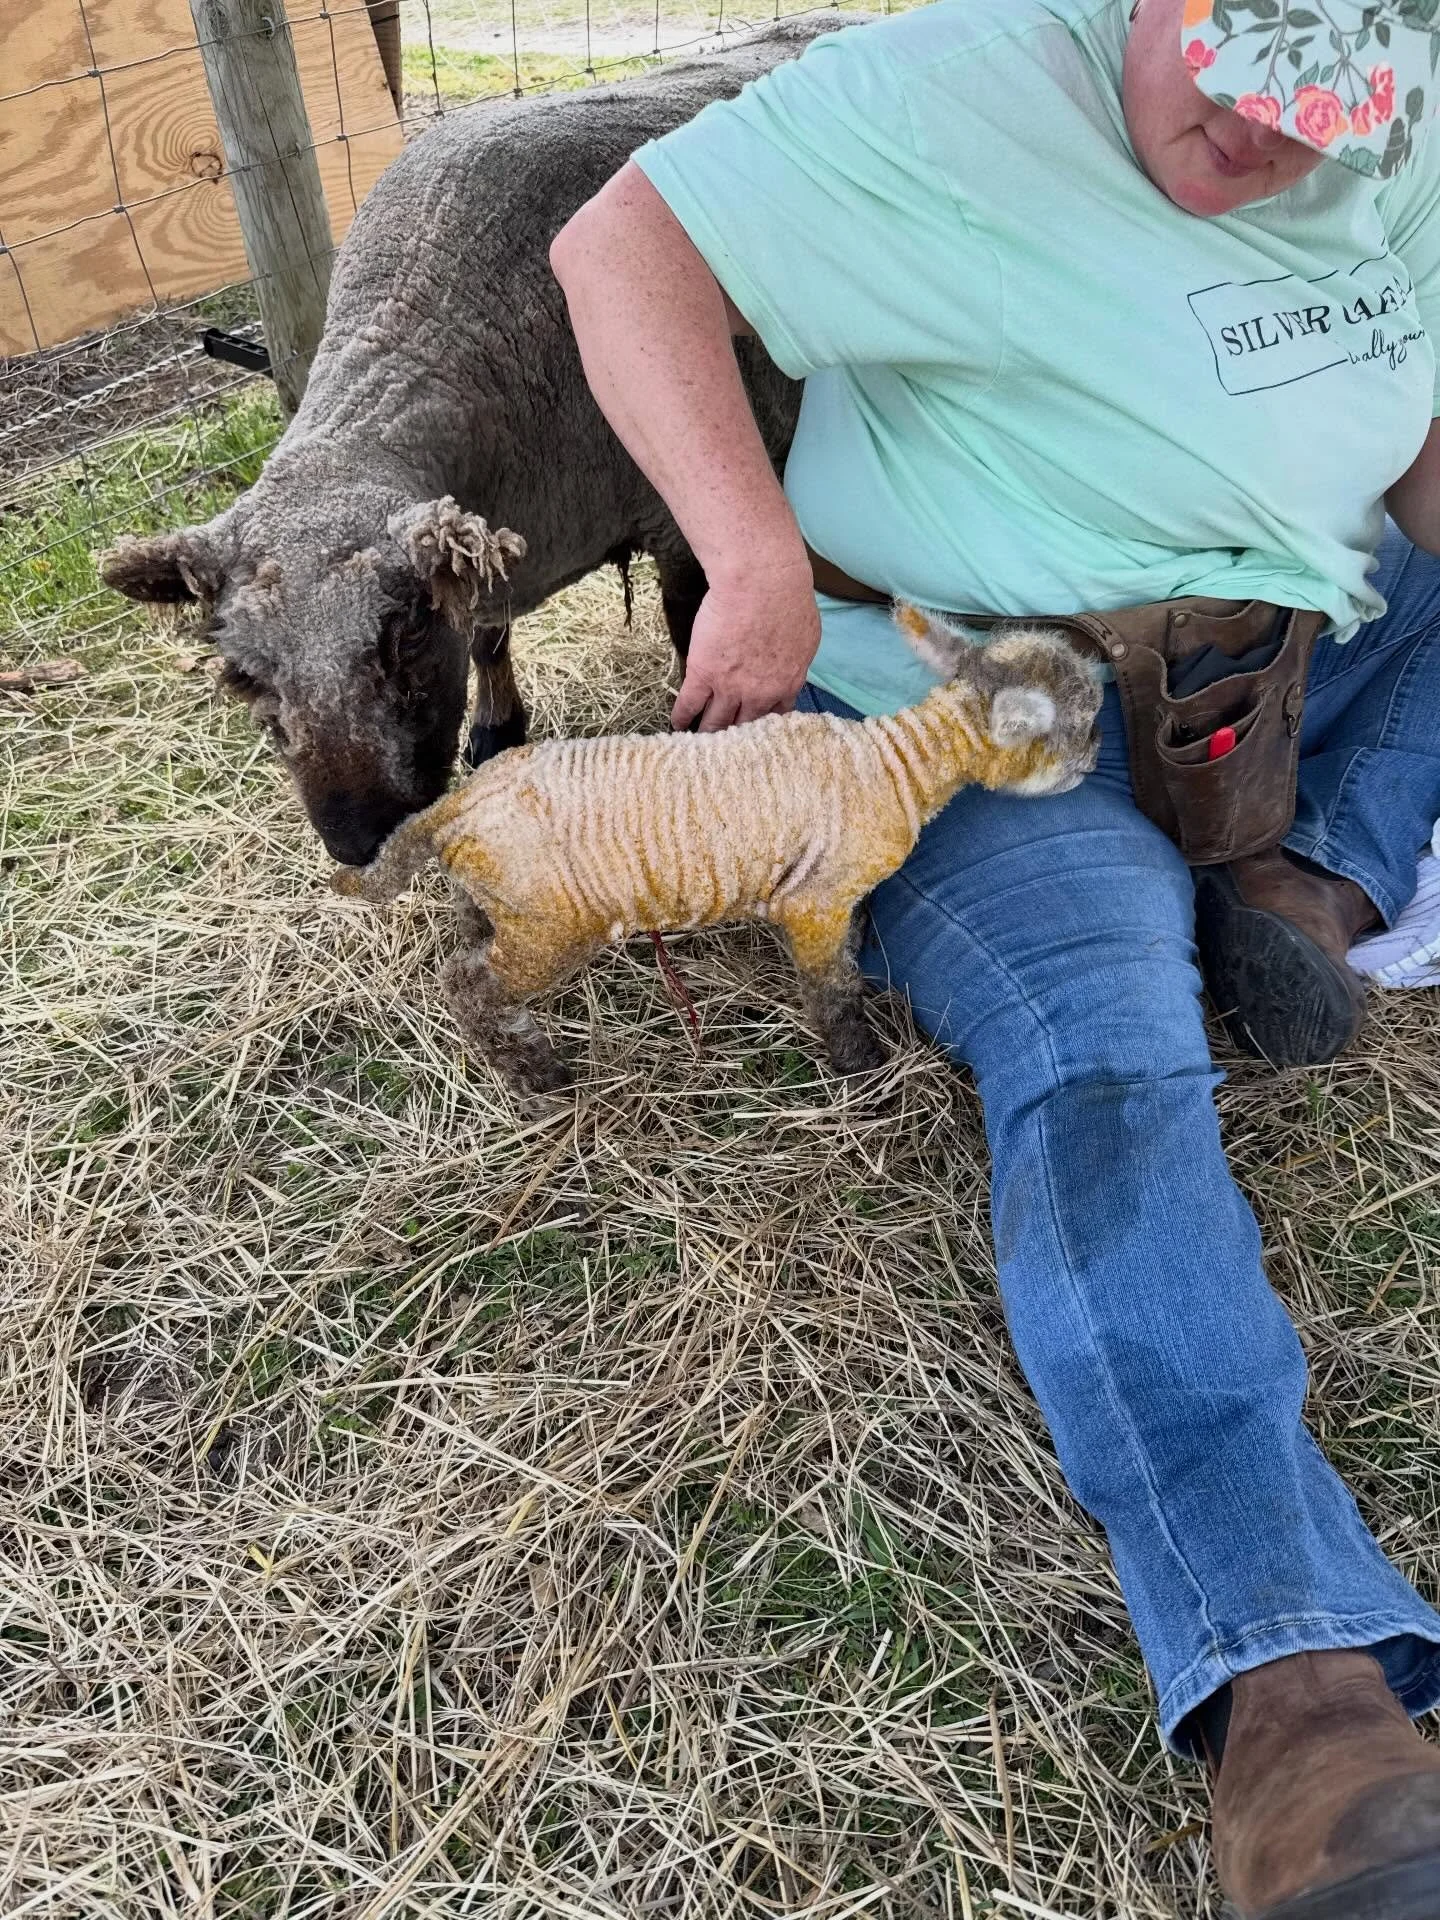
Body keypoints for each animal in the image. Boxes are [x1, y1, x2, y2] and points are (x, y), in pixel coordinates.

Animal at [97, 15, 866, 867]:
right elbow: (490, 635)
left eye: (403, 636)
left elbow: (698, 644)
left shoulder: (682, 531)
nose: (360, 839)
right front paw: (497, 729)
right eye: (241, 672)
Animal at [331, 612, 1104, 1092]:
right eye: (1084, 724)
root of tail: (457, 806)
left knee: (467, 947)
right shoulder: (814, 901)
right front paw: (857, 1061)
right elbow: (831, 986)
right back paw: (534, 1073)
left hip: (499, 898)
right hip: (550, 926)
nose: (1095, 764)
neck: (893, 765)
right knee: (467, 985)